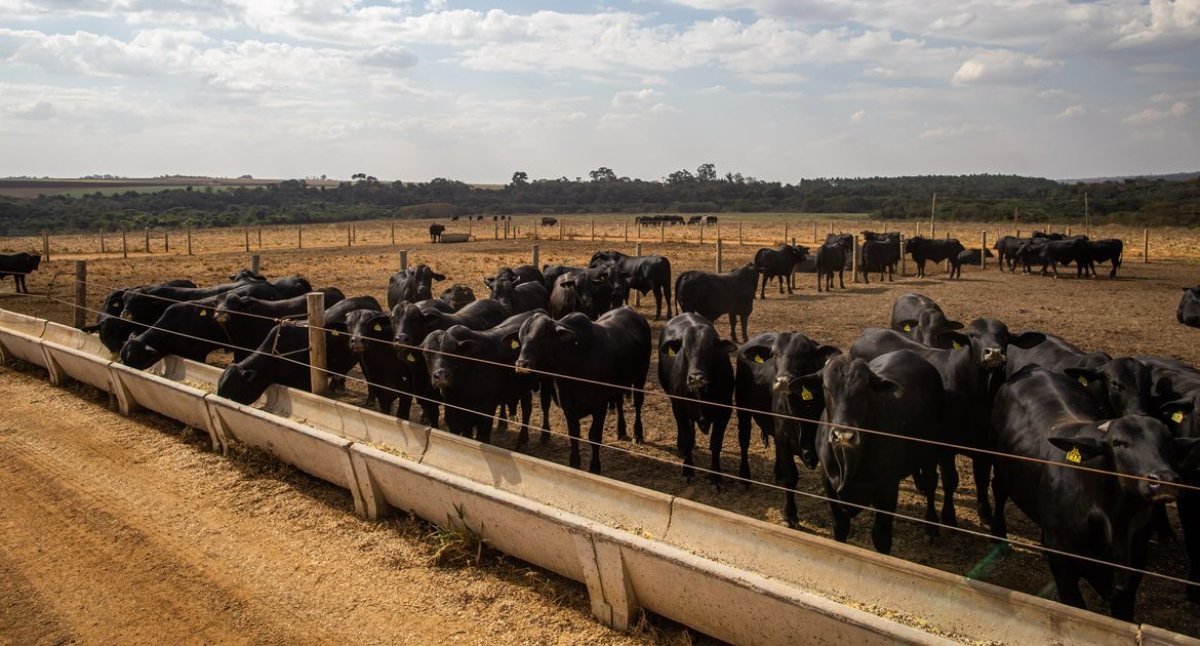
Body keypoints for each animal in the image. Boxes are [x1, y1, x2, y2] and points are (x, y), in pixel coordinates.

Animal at [422, 309, 552, 441]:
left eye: (453, 352)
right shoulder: (455, 411)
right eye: (426, 352)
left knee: (545, 405)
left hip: (547, 380)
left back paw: (544, 435)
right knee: (527, 407)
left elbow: (482, 436)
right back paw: (522, 439)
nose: (441, 375)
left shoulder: (486, 409)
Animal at [513, 303, 652, 470]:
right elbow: (574, 434)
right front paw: (574, 463)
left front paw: (595, 467)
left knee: (638, 403)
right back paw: (621, 430)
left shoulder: (599, 407)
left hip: (641, 376)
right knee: (619, 401)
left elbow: (594, 436)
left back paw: (637, 434)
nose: (521, 364)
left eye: (542, 336)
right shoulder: (568, 407)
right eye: (521, 339)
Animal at [662, 312, 734, 482]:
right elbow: (686, 438)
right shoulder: (679, 409)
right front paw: (688, 470)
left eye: (711, 348)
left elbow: (716, 444)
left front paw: (716, 477)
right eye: (684, 348)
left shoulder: (725, 413)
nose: (696, 378)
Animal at [854, 319, 1041, 525]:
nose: (994, 353)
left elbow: (982, 479)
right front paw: (949, 516)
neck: (977, 397)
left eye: (1004, 335)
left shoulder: (984, 447)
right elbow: (951, 480)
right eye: (973, 335)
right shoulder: (944, 446)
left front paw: (985, 513)